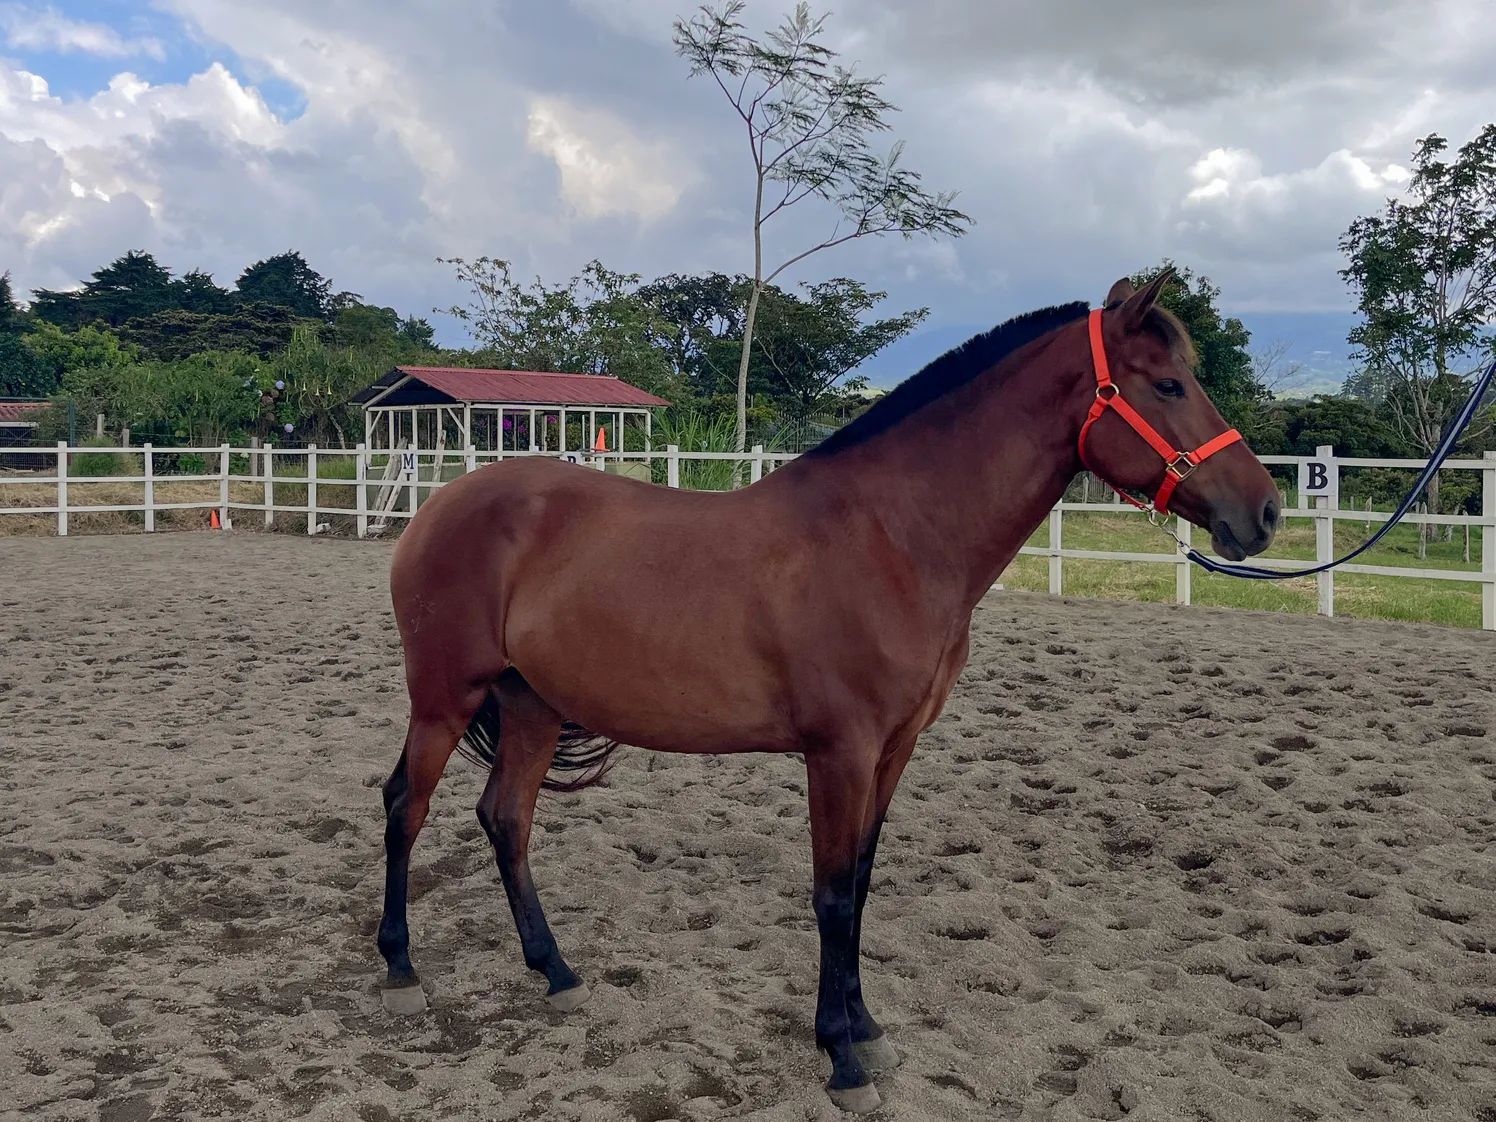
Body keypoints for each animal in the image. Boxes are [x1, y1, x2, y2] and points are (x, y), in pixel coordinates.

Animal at [374, 271, 1280, 1113]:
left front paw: (866, 1028)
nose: (1266, 512)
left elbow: (864, 883)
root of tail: (440, 503)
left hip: (531, 704)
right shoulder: (838, 753)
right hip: (446, 698)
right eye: (1167, 385)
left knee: (507, 818)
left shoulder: (894, 749)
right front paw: (842, 1059)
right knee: (405, 807)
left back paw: (555, 971)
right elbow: (834, 895)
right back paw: (402, 969)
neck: (891, 537)